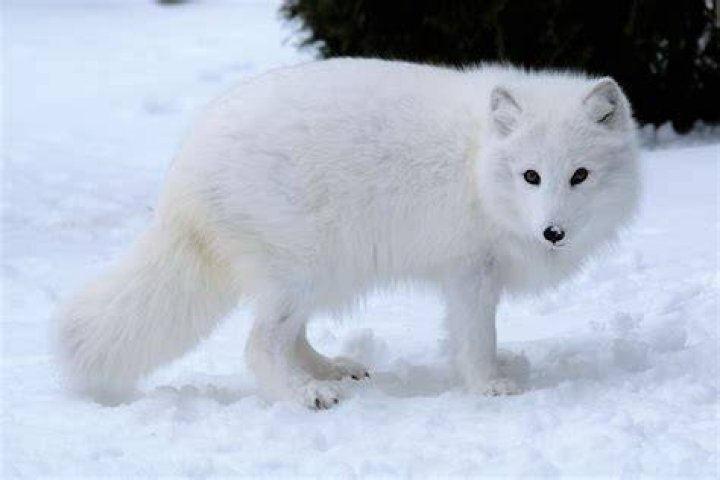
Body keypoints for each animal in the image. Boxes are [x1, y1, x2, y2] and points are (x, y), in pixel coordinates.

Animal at [57, 58, 640, 409]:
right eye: (531, 176)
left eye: (580, 175)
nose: (553, 231)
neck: (476, 162)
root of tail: (182, 171)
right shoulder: (469, 271)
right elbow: (476, 340)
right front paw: (488, 386)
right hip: (301, 270)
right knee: (258, 344)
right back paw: (305, 395)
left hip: (321, 274)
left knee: (290, 337)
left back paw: (331, 370)